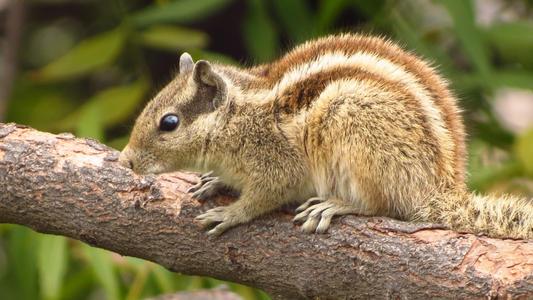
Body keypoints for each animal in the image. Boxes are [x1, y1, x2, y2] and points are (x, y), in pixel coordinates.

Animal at [118, 33, 532, 237]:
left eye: (169, 123)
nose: (126, 160)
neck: (238, 118)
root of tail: (440, 189)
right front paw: (213, 181)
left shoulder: (275, 163)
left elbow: (266, 195)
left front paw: (232, 212)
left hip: (354, 129)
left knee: (382, 204)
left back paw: (335, 205)